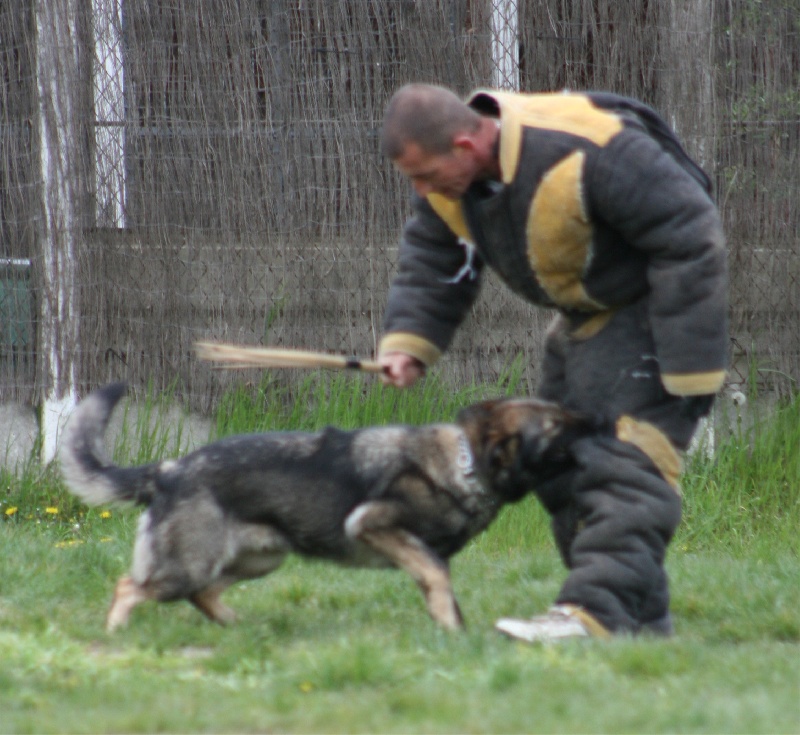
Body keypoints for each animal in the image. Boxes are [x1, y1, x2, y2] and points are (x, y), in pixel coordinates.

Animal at [59, 386, 604, 632]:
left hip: (259, 560)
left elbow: (440, 586)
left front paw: (454, 632)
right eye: (555, 424)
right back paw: (115, 633)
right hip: (188, 564)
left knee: (204, 593)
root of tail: (170, 469)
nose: (598, 417)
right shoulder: (373, 524)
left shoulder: (426, 555)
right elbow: (436, 577)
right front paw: (454, 633)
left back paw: (237, 625)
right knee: (131, 585)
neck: (466, 464)